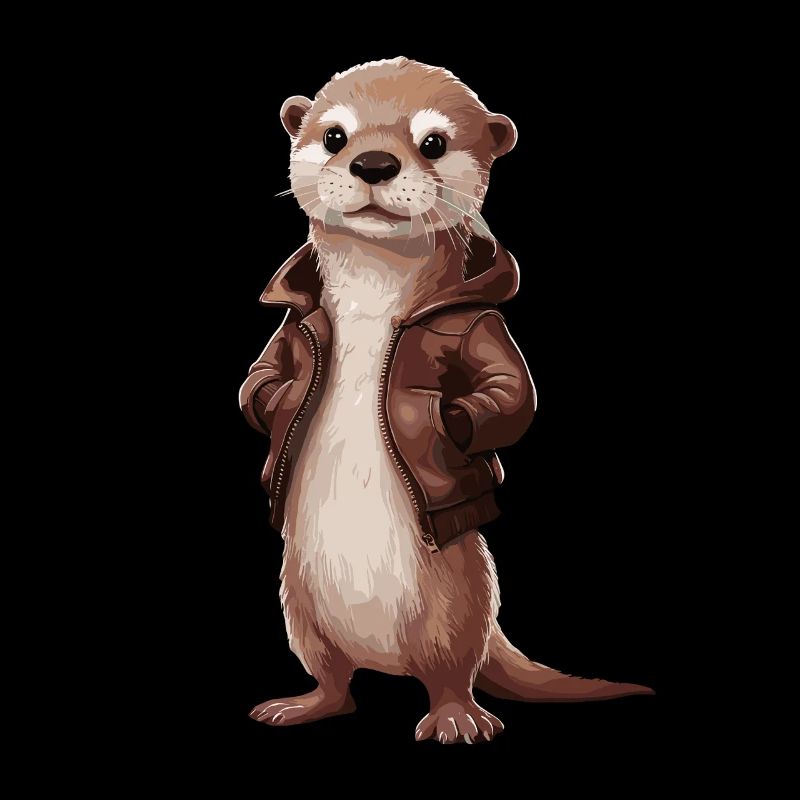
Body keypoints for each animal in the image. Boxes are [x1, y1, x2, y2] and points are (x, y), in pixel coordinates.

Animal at [239, 58, 653, 744]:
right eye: (334, 135)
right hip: (299, 605)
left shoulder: (483, 326)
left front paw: (454, 419)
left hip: (456, 599)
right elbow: (261, 380)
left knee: (452, 669)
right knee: (334, 679)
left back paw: (458, 719)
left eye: (432, 142)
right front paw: (274, 396)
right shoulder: (290, 331)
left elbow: (509, 396)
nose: (373, 162)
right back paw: (304, 704)